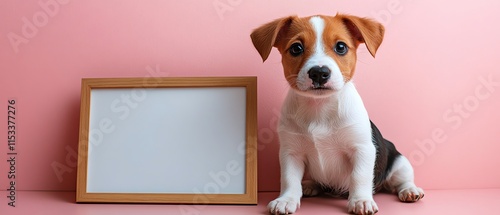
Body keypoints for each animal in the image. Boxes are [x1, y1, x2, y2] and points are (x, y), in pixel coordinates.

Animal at [252, 14, 424, 214]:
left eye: (341, 47)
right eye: (296, 48)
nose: (319, 73)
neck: (320, 107)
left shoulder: (362, 149)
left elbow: (359, 176)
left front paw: (361, 200)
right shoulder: (291, 152)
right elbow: (289, 179)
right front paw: (286, 199)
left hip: (399, 162)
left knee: (402, 181)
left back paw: (410, 190)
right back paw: (310, 185)